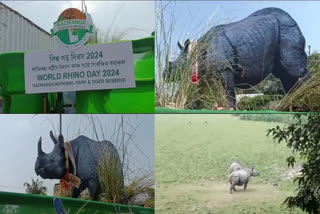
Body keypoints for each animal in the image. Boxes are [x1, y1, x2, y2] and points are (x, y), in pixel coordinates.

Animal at [164, 6, 308, 108]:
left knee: (293, 69)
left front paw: (230, 109)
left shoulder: (224, 68)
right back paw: (293, 103)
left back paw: (306, 98)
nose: (164, 74)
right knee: (285, 74)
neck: (194, 54)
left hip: (287, 29)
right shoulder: (206, 73)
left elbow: (228, 93)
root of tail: (291, 18)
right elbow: (198, 94)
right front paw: (191, 108)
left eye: (175, 67)